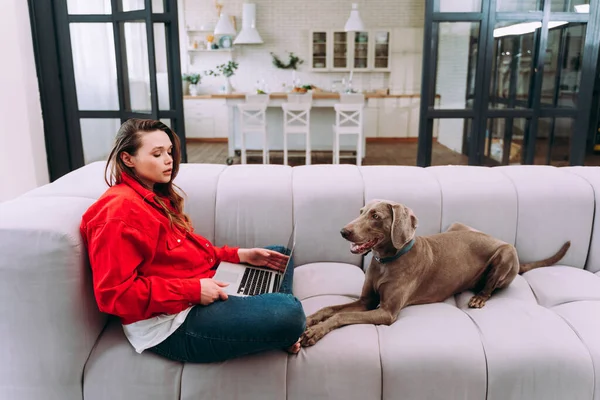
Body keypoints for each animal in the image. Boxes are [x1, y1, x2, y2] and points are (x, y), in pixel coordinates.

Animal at [302, 200, 568, 346]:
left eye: (375, 216)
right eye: (360, 211)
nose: (343, 231)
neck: (387, 261)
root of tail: (496, 238)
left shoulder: (386, 312)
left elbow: (341, 316)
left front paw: (314, 332)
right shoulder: (366, 300)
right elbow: (329, 309)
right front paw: (309, 319)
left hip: (506, 253)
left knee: (491, 286)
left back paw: (479, 297)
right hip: (457, 225)